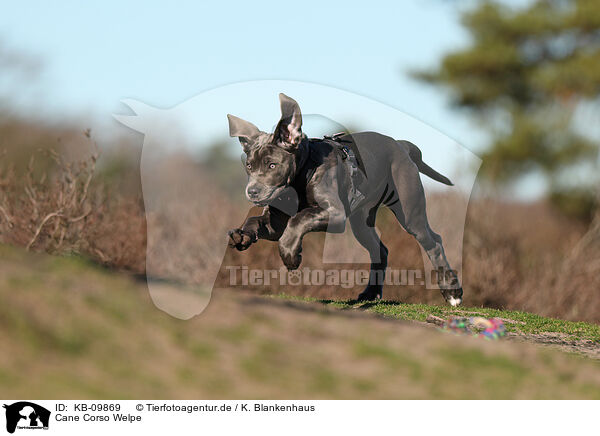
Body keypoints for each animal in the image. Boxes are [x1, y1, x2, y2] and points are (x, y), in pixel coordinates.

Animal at [227, 93, 462, 304]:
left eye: (272, 165)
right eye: (249, 166)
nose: (252, 192)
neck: (303, 173)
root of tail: (401, 145)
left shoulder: (335, 213)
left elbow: (299, 219)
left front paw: (291, 255)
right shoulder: (275, 222)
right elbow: (256, 221)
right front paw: (242, 235)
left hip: (409, 212)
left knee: (433, 242)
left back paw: (452, 292)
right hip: (362, 221)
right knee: (380, 250)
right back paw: (370, 293)